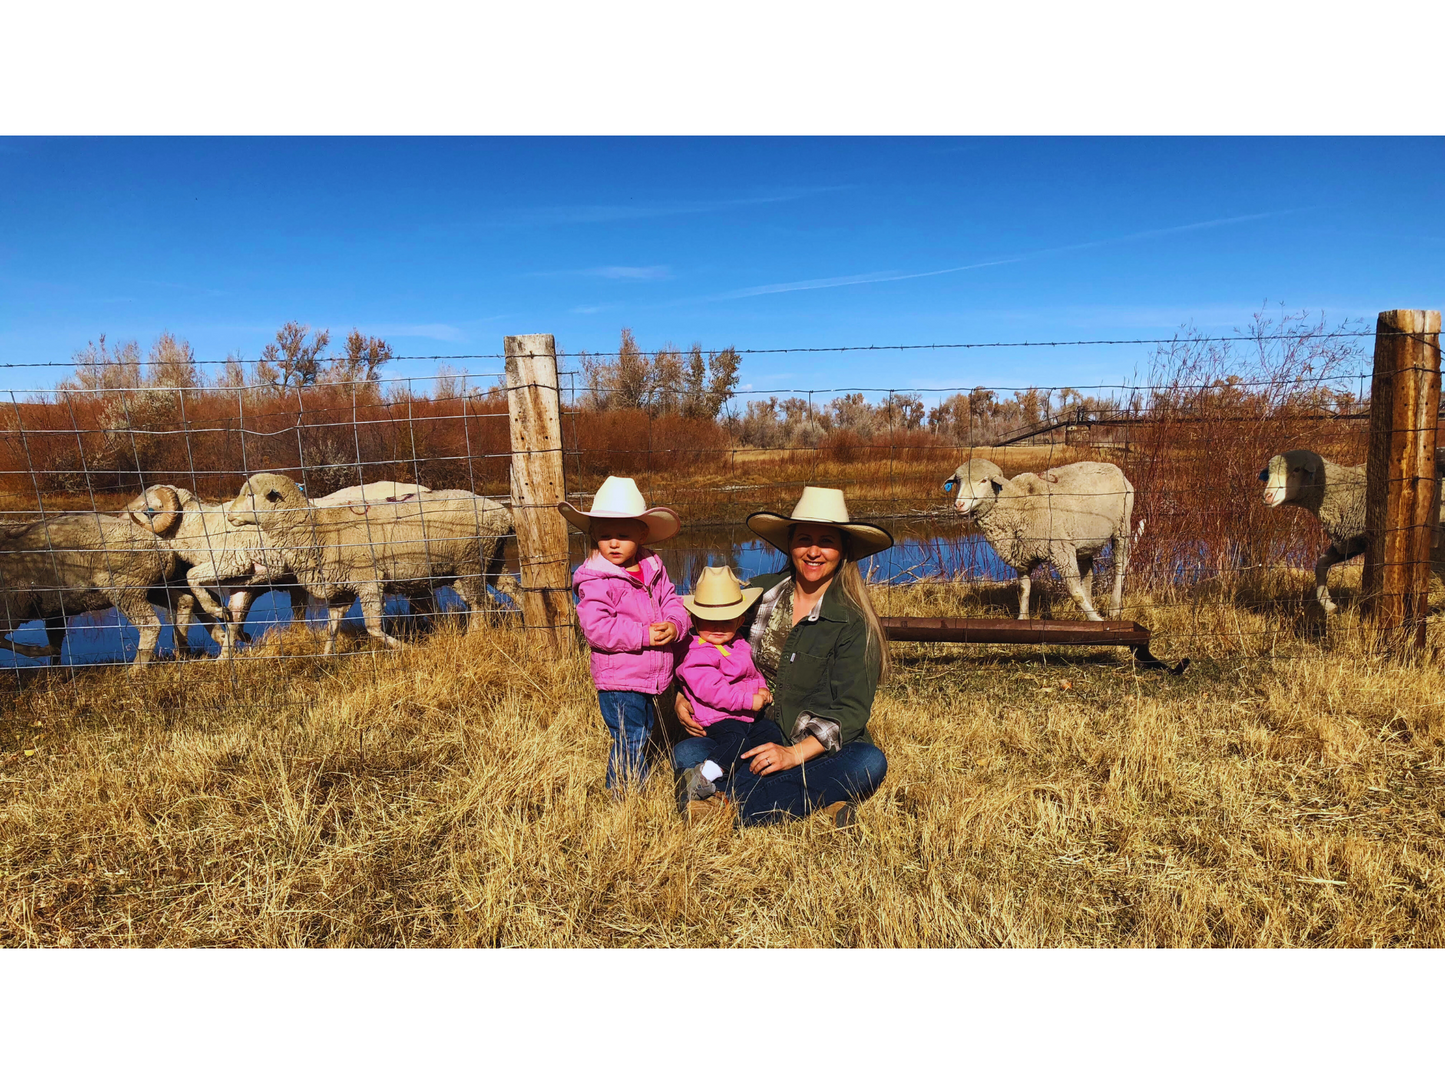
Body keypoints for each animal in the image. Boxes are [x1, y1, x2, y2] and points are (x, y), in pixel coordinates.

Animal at [0, 510, 181, 664]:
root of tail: (165, 550)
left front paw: (40, 651)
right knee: (182, 602)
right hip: (154, 587)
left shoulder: (11, 611)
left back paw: (136, 670)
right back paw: (181, 648)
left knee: (150, 626)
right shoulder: (55, 611)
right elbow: (56, 643)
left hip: (126, 589)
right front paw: (56, 672)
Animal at [225, 472, 514, 654]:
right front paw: (326, 659)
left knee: (479, 603)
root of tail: (501, 512)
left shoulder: (369, 582)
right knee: (510, 589)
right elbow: (332, 628)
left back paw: (474, 637)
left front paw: (408, 649)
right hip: (489, 559)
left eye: (250, 495)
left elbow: (373, 628)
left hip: (472, 560)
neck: (318, 528)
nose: (229, 515)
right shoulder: (341, 589)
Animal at [946, 458, 1136, 621]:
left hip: (1122, 528)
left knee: (1119, 566)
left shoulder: (1061, 550)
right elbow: (1023, 589)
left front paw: (1096, 619)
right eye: (958, 481)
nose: (959, 505)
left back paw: (1113, 609)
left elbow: (1075, 592)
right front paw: (1023, 618)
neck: (1016, 504)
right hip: (1085, 540)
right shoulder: (1021, 555)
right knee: (1088, 572)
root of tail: (1113, 467)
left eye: (984, 480)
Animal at [1259, 448, 1445, 614]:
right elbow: (1320, 564)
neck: (1342, 493)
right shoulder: (1348, 542)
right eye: (1269, 473)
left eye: (1296, 469)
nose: (1267, 496)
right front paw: (1328, 604)